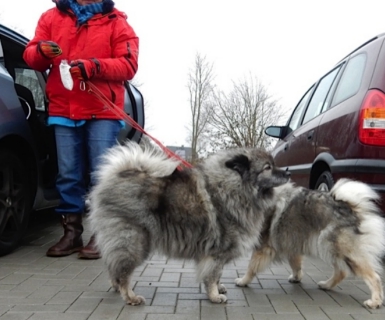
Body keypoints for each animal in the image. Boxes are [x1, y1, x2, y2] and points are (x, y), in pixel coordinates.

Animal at [87, 142, 290, 304]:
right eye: (267, 168)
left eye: (274, 165)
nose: (287, 172)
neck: (235, 188)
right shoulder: (217, 253)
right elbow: (212, 276)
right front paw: (214, 296)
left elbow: (217, 275)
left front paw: (219, 288)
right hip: (135, 243)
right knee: (124, 273)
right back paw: (130, 297)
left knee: (114, 266)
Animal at [234, 179, 384, 308]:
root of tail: (349, 206)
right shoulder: (292, 244)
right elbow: (296, 264)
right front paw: (296, 277)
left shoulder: (262, 247)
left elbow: (251, 267)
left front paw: (243, 281)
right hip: (330, 248)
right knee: (341, 272)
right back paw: (326, 285)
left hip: (336, 248)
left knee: (373, 277)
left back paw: (375, 302)